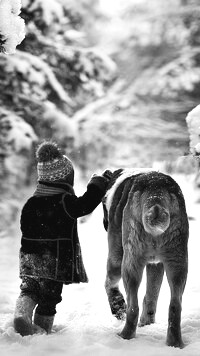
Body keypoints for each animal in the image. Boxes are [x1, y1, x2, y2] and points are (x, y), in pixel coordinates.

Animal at [103, 169, 189, 348]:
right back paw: (174, 343)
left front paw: (118, 307)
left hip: (129, 263)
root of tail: (155, 194)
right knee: (175, 305)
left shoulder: (116, 257)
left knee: (132, 306)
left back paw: (124, 336)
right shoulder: (157, 264)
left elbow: (109, 283)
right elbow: (151, 293)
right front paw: (147, 322)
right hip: (178, 262)